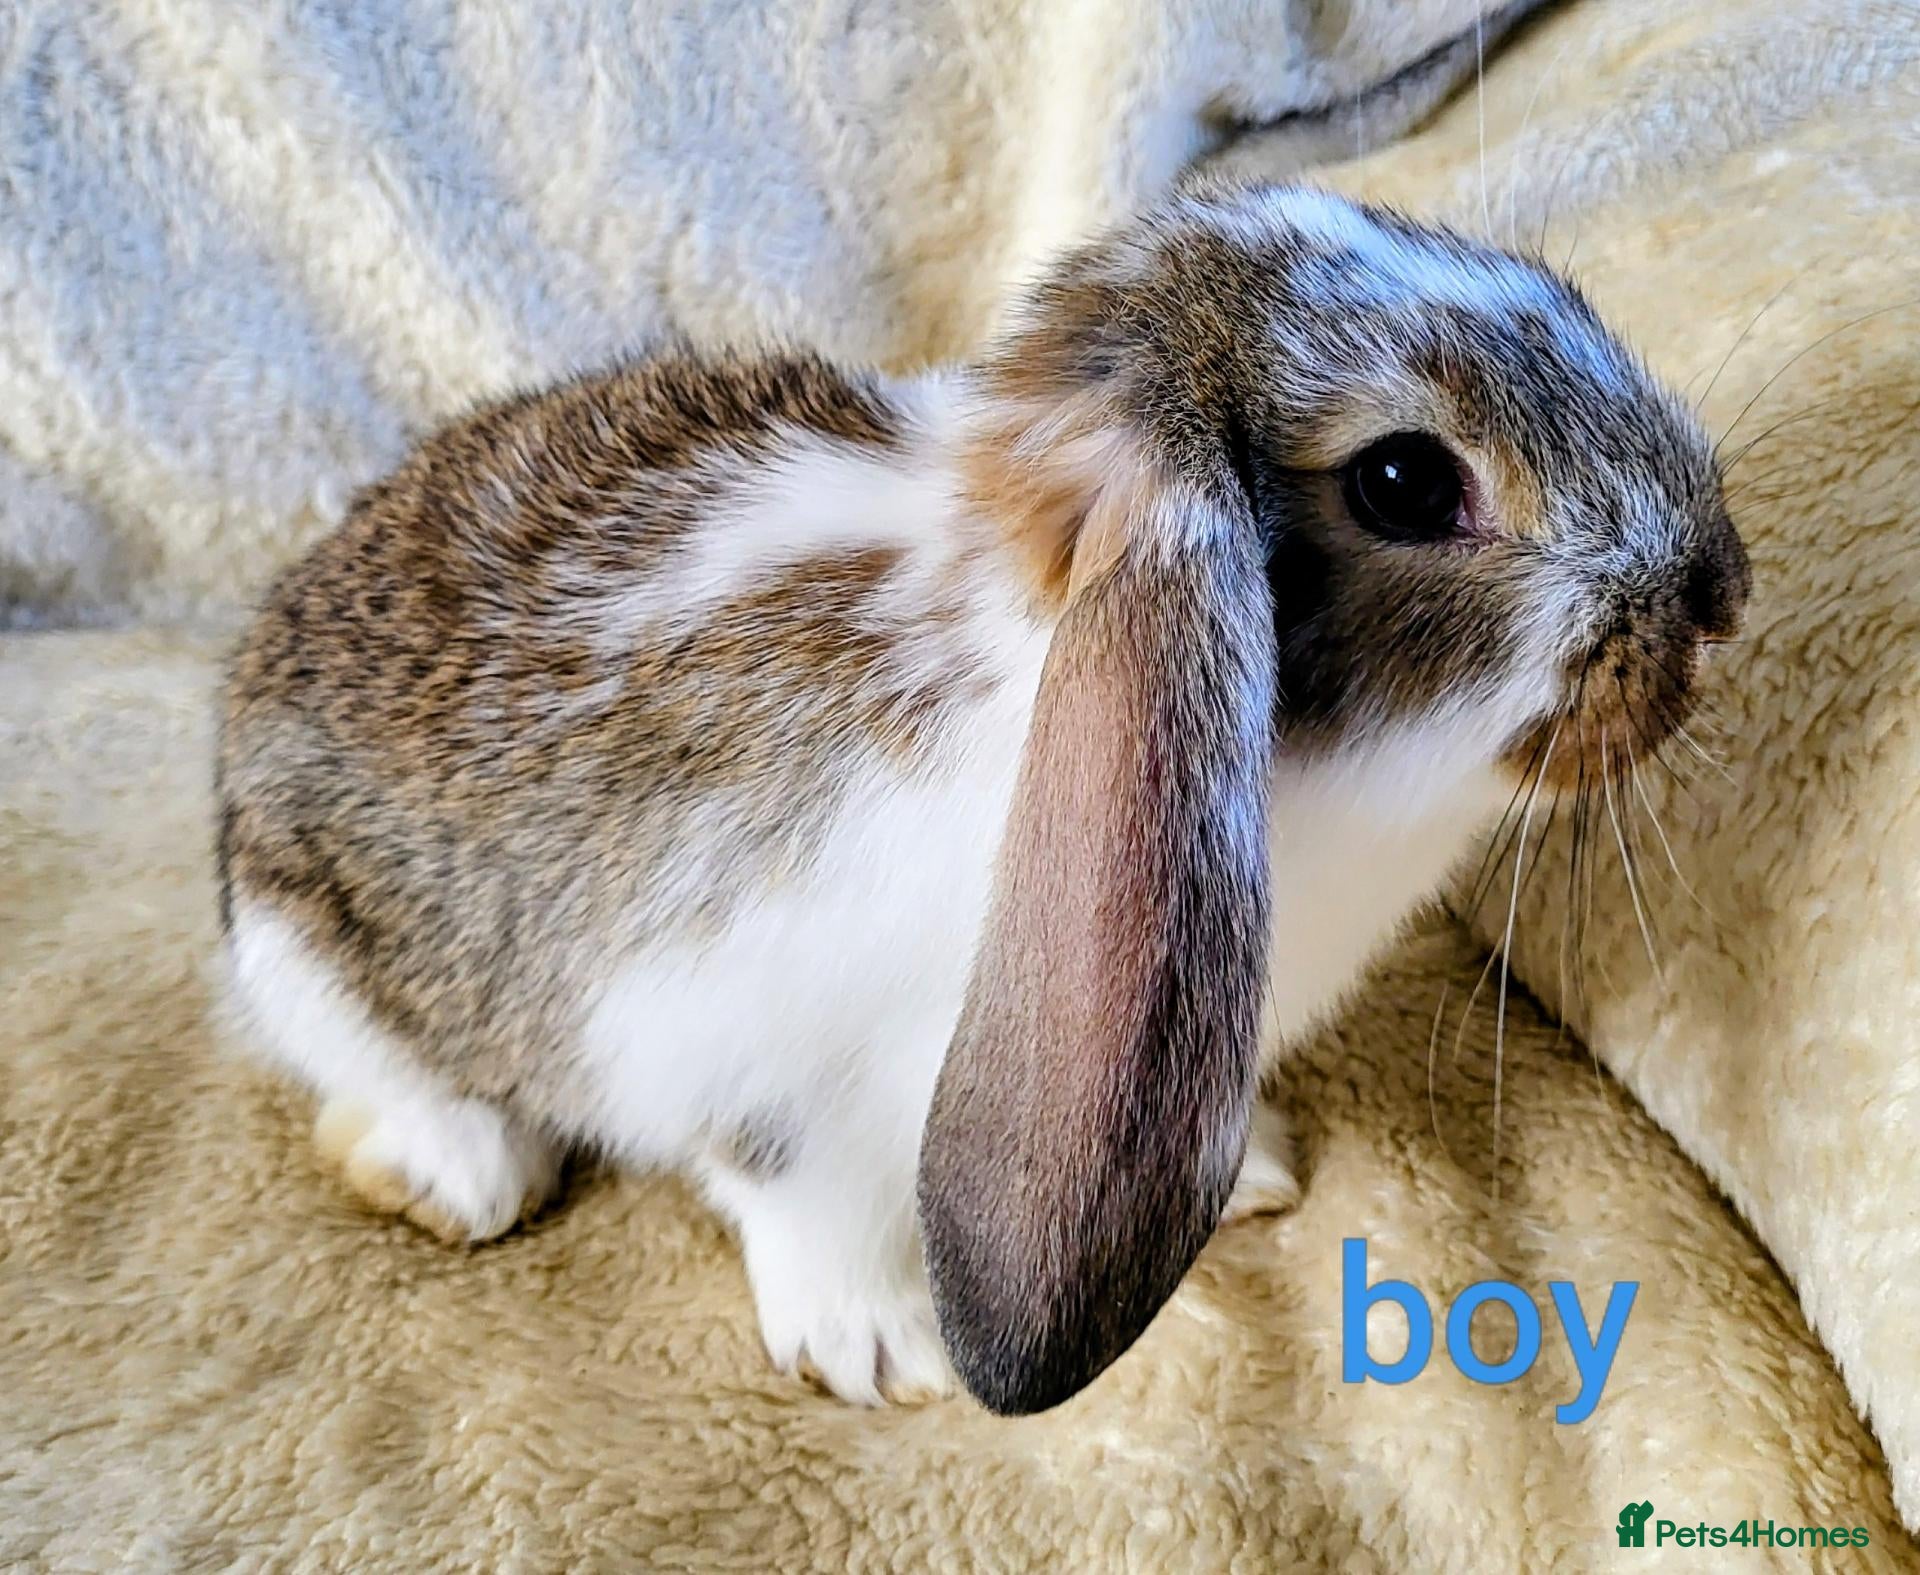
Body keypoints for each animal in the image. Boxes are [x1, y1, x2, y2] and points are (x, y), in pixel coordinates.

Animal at [215, 179, 1749, 1416]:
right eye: (1404, 480)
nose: (1721, 590)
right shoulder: (730, 1042)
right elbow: (797, 1197)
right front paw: (882, 1349)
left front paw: (1252, 1172)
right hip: (305, 951)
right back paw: (450, 1172)